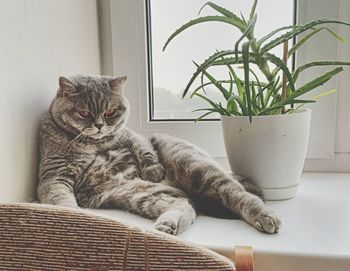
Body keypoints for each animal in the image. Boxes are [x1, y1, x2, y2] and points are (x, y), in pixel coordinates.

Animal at [37, 75, 282, 236]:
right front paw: (74, 215)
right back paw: (169, 224)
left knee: (240, 194)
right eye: (84, 113)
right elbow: (61, 199)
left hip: (196, 167)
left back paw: (265, 217)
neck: (93, 143)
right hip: (139, 194)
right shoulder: (54, 176)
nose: (98, 125)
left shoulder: (131, 135)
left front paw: (152, 167)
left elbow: (142, 146)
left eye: (110, 112)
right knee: (187, 206)